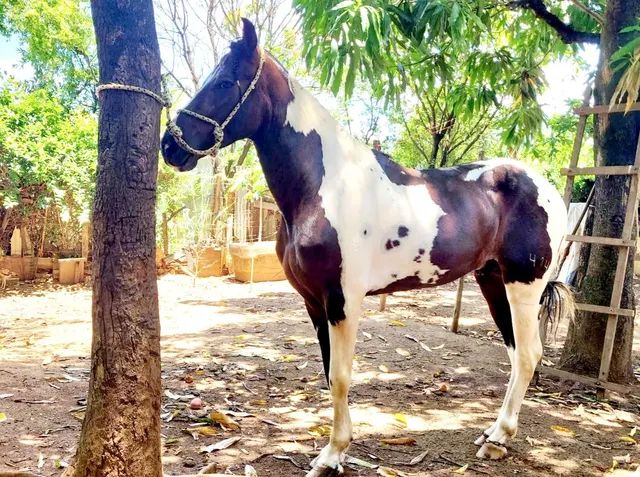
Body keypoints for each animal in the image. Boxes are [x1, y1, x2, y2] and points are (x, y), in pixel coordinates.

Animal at [160, 18, 576, 476]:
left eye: (224, 82)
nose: (170, 146)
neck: (325, 186)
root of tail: (546, 188)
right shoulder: (314, 301)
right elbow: (328, 373)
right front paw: (336, 452)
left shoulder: (343, 300)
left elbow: (341, 376)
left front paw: (332, 456)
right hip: (492, 280)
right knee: (517, 353)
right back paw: (492, 434)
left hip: (523, 284)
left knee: (529, 354)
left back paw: (499, 439)